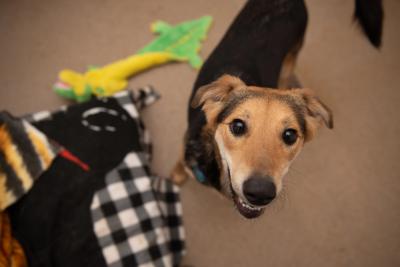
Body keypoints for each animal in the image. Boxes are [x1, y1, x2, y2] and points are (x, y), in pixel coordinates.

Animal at [170, 0, 382, 219]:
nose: (260, 192)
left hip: (291, 58)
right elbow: (180, 163)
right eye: (237, 126)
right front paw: (175, 176)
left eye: (290, 135)